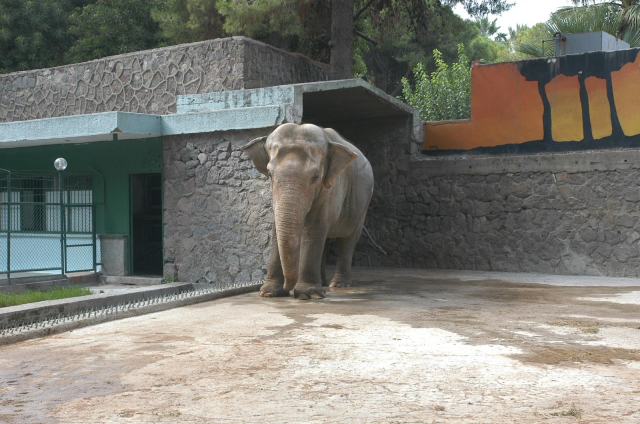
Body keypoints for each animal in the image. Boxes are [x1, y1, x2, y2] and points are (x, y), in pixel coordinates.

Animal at [244, 124, 376, 300]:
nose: (288, 288)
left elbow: (314, 228)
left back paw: (338, 284)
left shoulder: (330, 189)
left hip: (363, 205)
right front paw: (269, 293)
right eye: (270, 174)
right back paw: (324, 282)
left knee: (348, 240)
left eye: (316, 176)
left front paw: (308, 295)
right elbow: (276, 229)